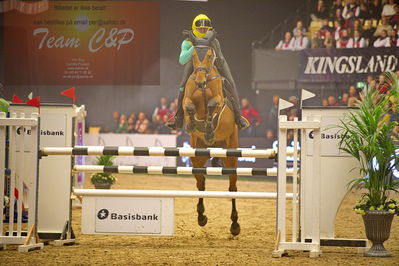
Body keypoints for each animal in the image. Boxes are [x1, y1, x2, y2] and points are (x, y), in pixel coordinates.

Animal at [184, 45, 241, 235]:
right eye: (193, 55)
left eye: (210, 56)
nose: (200, 81)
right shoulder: (187, 98)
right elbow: (188, 106)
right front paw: (192, 123)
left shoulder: (218, 100)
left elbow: (211, 105)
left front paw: (208, 126)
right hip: (197, 158)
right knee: (201, 184)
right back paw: (201, 217)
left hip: (231, 157)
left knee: (232, 188)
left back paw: (235, 224)